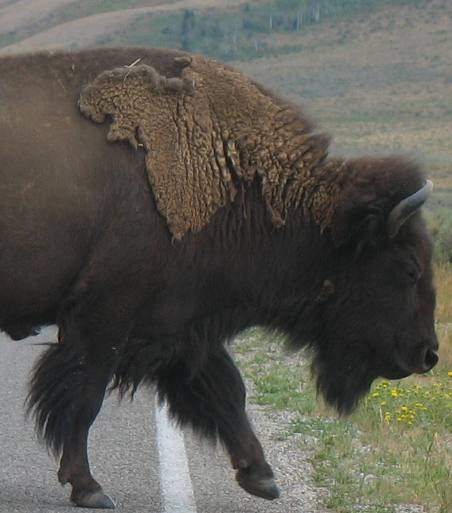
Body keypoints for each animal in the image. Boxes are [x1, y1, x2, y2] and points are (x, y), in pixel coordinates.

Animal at [0, 45, 438, 508]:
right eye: (410, 267)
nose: (429, 353)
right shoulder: (104, 320)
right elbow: (84, 399)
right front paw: (89, 487)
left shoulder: (184, 328)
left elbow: (227, 392)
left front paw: (262, 477)